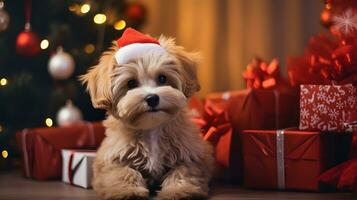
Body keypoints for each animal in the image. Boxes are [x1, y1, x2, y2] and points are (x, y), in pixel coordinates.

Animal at [80, 28, 213, 200]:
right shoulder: (111, 158)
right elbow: (123, 172)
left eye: (162, 78)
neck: (152, 127)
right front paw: (127, 191)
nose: (152, 98)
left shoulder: (192, 154)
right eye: (131, 83)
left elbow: (183, 171)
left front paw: (180, 190)